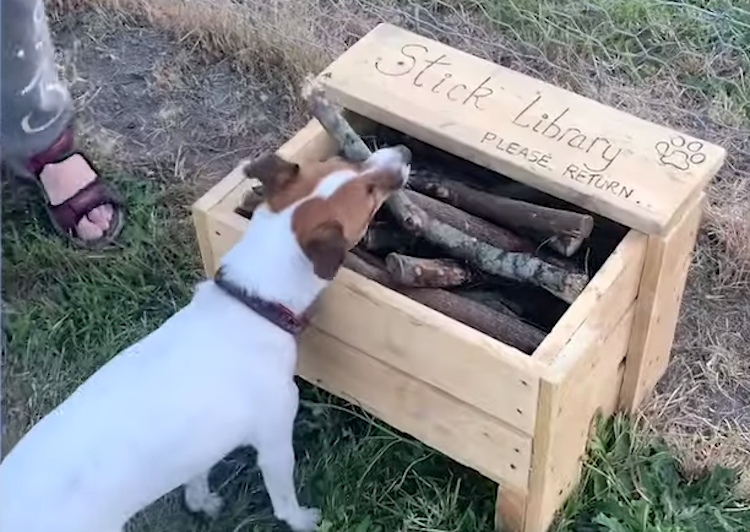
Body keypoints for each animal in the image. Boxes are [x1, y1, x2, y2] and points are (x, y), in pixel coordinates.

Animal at [0, 143, 412, 532]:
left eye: (349, 164)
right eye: (370, 193)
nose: (404, 153)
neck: (252, 299)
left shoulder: (202, 444)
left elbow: (196, 474)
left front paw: (201, 502)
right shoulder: (275, 441)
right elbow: (283, 501)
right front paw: (303, 520)